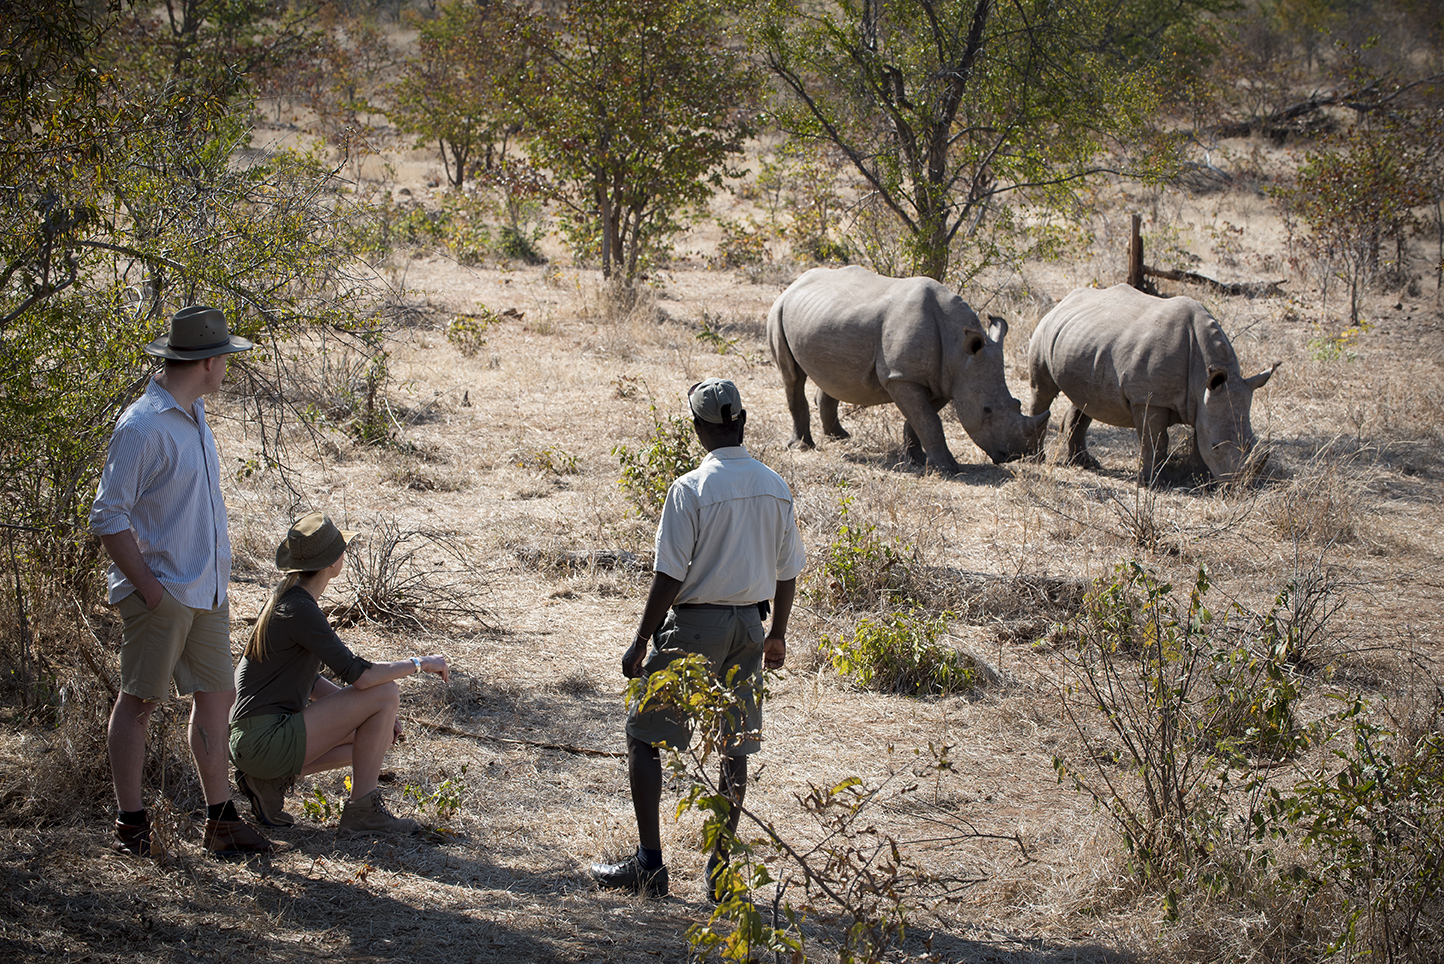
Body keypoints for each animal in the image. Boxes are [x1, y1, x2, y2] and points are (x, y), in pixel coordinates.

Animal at [767, 266, 1049, 474]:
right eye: (986, 410)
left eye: (1016, 403)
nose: (1014, 455)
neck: (959, 351)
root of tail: (794, 284)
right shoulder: (902, 378)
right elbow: (929, 420)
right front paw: (948, 468)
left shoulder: (944, 381)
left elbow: (921, 420)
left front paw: (917, 459)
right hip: (778, 310)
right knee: (793, 377)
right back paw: (802, 446)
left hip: (827, 316)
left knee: (835, 376)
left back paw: (840, 437)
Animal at [1026, 284, 1279, 483]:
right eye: (1217, 445)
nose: (1239, 486)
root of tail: (1063, 302)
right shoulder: (1149, 398)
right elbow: (1155, 439)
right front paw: (1150, 482)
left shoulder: (1204, 401)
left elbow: (1198, 438)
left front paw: (1201, 479)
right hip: (1044, 330)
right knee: (1043, 392)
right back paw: (1037, 458)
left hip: (1084, 341)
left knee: (1086, 400)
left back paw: (1085, 463)